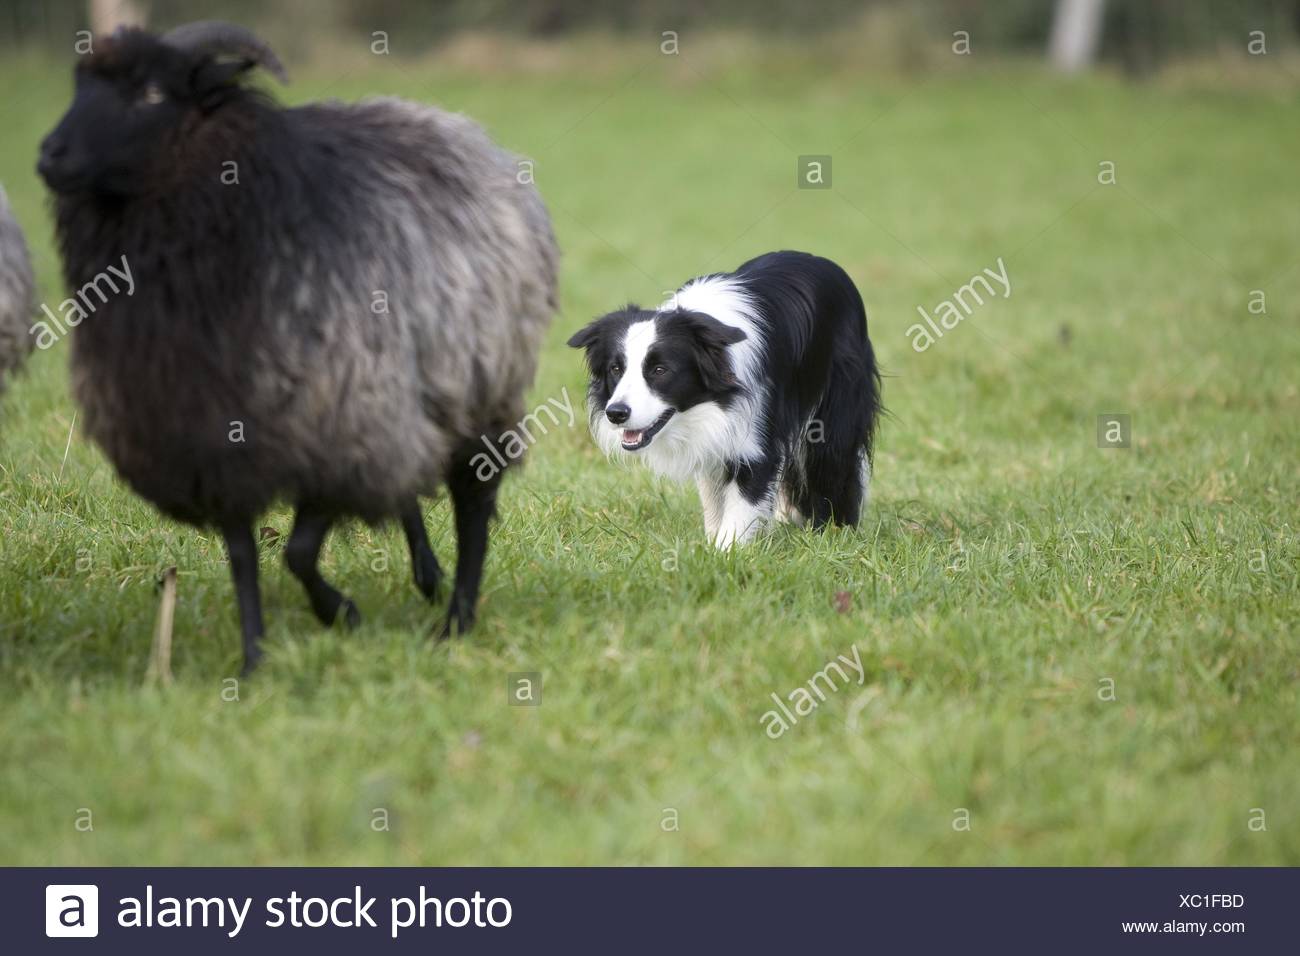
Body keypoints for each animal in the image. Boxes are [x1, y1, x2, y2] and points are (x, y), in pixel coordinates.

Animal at [37, 21, 559, 673]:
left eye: (152, 93)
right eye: (79, 86)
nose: (47, 155)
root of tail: (453, 123)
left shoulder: (338, 429)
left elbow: (300, 552)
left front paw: (342, 614)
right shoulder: (211, 440)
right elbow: (243, 557)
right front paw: (253, 659)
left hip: (478, 384)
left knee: (473, 502)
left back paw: (456, 620)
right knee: (411, 488)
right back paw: (428, 578)